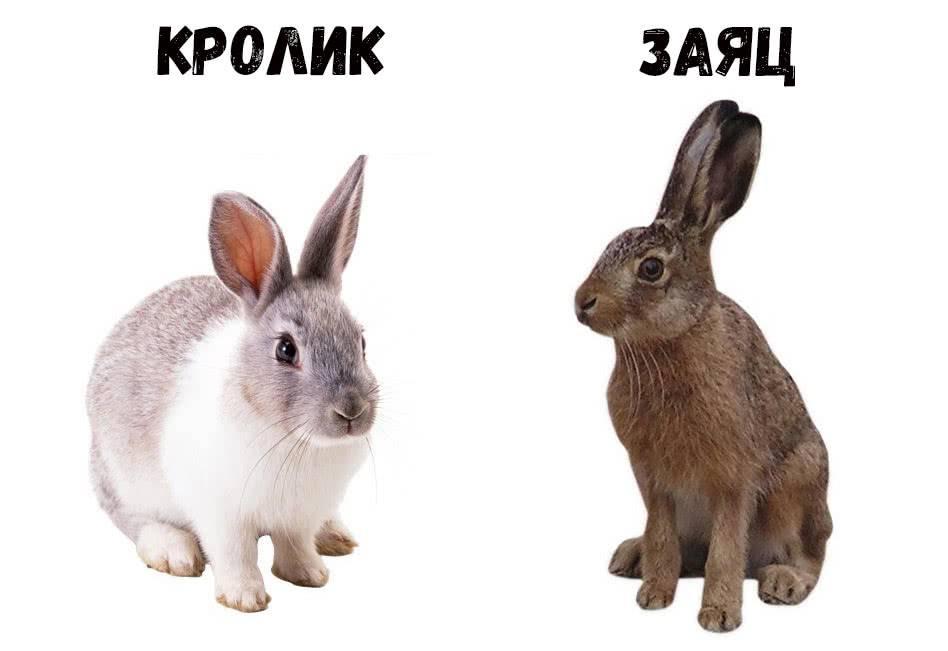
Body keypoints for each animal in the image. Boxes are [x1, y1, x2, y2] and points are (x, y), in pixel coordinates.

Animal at [87, 156, 378, 612]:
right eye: (286, 350)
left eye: (362, 341)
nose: (352, 411)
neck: (296, 441)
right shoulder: (220, 513)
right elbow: (235, 553)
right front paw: (245, 597)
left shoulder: (299, 515)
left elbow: (295, 544)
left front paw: (309, 574)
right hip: (123, 480)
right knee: (134, 520)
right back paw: (173, 551)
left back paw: (335, 536)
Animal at [574, 101, 832, 632]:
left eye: (651, 268)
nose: (581, 302)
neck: (671, 339)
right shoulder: (651, 478)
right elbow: (661, 535)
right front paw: (654, 594)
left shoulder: (732, 479)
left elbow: (726, 551)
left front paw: (718, 615)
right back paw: (631, 557)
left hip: (798, 486)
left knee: (810, 557)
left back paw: (784, 581)